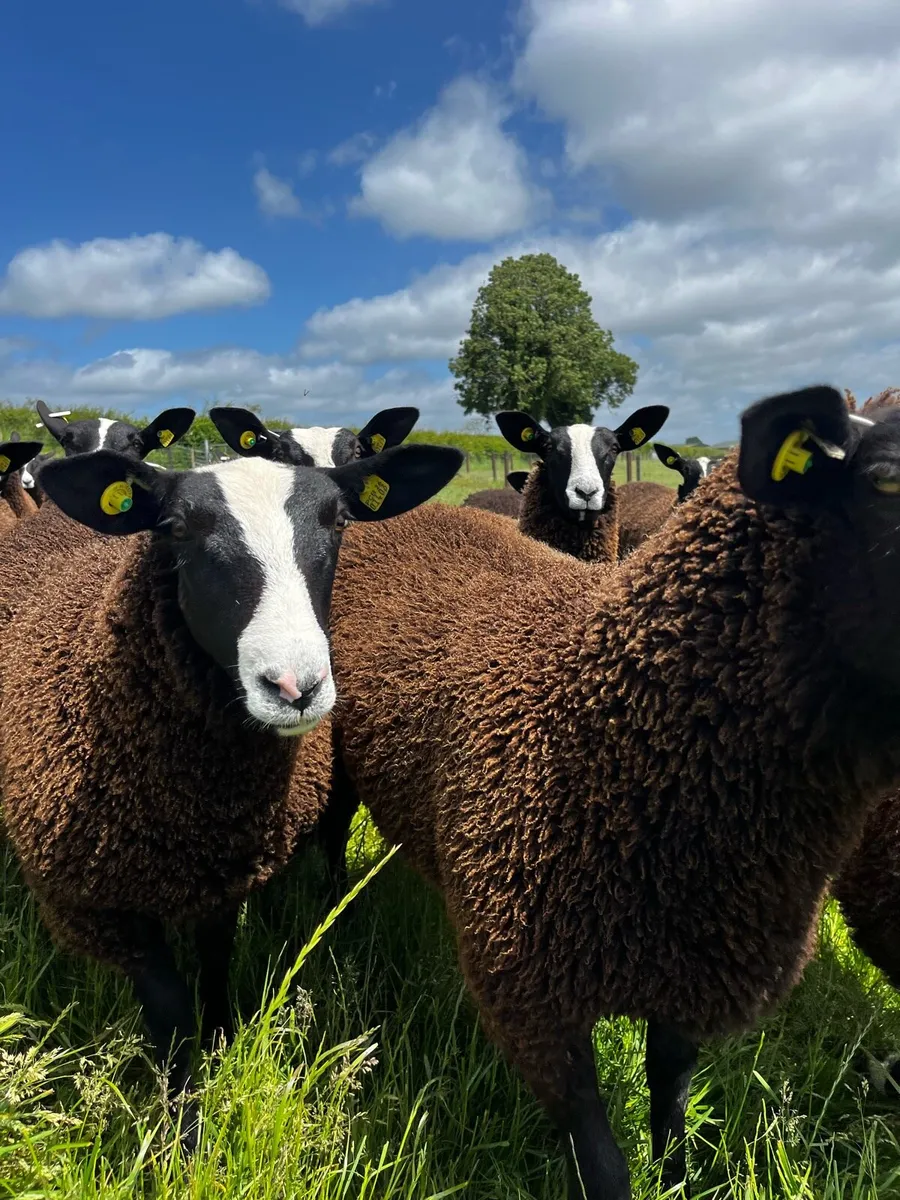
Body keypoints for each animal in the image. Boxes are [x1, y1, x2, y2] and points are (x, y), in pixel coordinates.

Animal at [0, 437, 462, 1146]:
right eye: (176, 528)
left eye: (339, 521)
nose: (295, 686)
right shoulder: (100, 906)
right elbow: (168, 1007)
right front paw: (181, 1124)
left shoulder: (221, 873)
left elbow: (216, 961)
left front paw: (219, 1046)